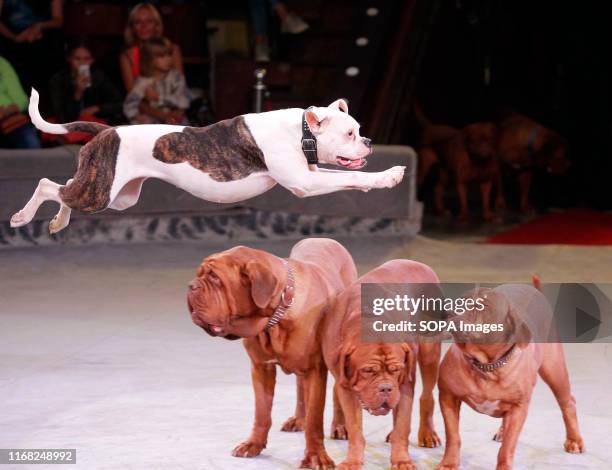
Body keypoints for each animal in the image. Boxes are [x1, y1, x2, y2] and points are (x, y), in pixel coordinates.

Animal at [10, 89, 406, 233]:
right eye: (350, 134)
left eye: (359, 130)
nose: (369, 142)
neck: (301, 131)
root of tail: (108, 131)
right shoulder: (305, 184)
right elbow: (353, 178)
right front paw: (387, 176)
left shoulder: (311, 173)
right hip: (99, 193)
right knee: (47, 185)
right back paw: (22, 217)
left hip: (119, 196)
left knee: (63, 189)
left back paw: (58, 222)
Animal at [188, 239, 358, 470]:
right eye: (200, 275)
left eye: (215, 277)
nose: (191, 285)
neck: (277, 316)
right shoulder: (261, 368)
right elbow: (262, 413)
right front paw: (253, 444)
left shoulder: (315, 370)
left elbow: (315, 419)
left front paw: (316, 457)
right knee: (300, 388)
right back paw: (298, 419)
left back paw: (340, 426)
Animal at [322, 258, 442, 468]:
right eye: (368, 370)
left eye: (396, 370)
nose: (385, 388)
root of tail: (419, 263)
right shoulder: (347, 385)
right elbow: (355, 429)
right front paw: (353, 460)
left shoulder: (404, 384)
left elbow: (402, 427)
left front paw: (402, 460)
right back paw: (339, 425)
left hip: (430, 352)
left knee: (427, 396)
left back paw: (427, 433)